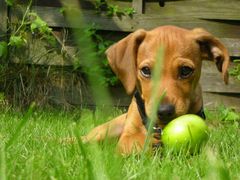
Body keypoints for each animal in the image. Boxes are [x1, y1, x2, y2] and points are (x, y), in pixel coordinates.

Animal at [81, 25, 230, 155]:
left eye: (185, 70)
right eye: (146, 70)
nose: (164, 111)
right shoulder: (127, 138)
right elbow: (139, 141)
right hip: (106, 130)